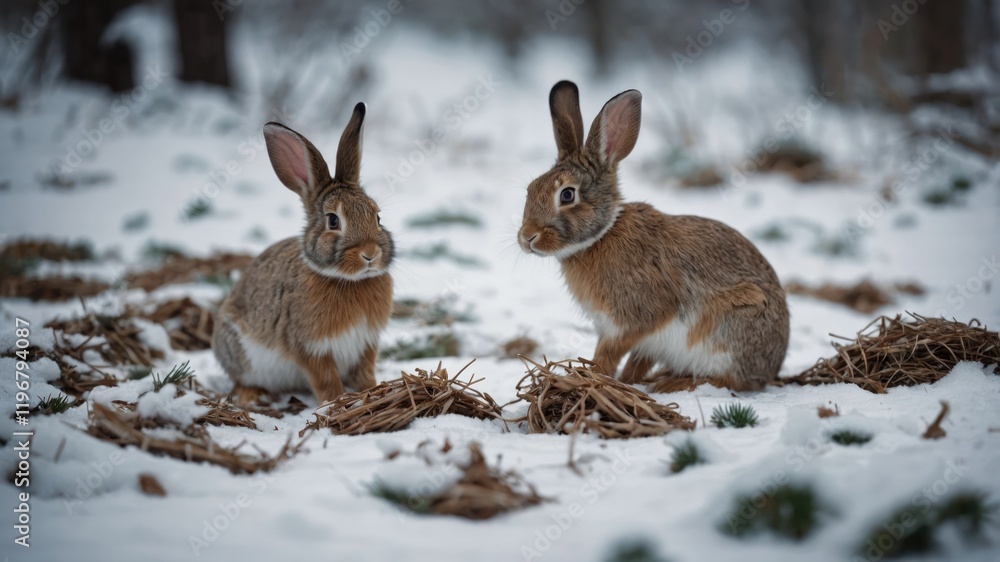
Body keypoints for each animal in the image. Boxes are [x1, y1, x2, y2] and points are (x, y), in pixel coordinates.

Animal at [213, 103, 394, 404]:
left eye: (377, 217)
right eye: (333, 221)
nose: (369, 254)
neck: (348, 281)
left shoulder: (366, 343)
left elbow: (363, 374)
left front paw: (372, 390)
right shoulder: (310, 348)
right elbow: (326, 379)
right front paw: (334, 402)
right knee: (240, 380)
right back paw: (251, 395)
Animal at [517, 81, 789, 391]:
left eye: (567, 195)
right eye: (531, 188)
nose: (527, 237)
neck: (602, 235)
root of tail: (772, 366)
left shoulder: (634, 320)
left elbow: (609, 353)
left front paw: (593, 376)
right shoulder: (638, 338)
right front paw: (623, 381)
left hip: (731, 330)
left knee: (729, 380)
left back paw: (673, 385)